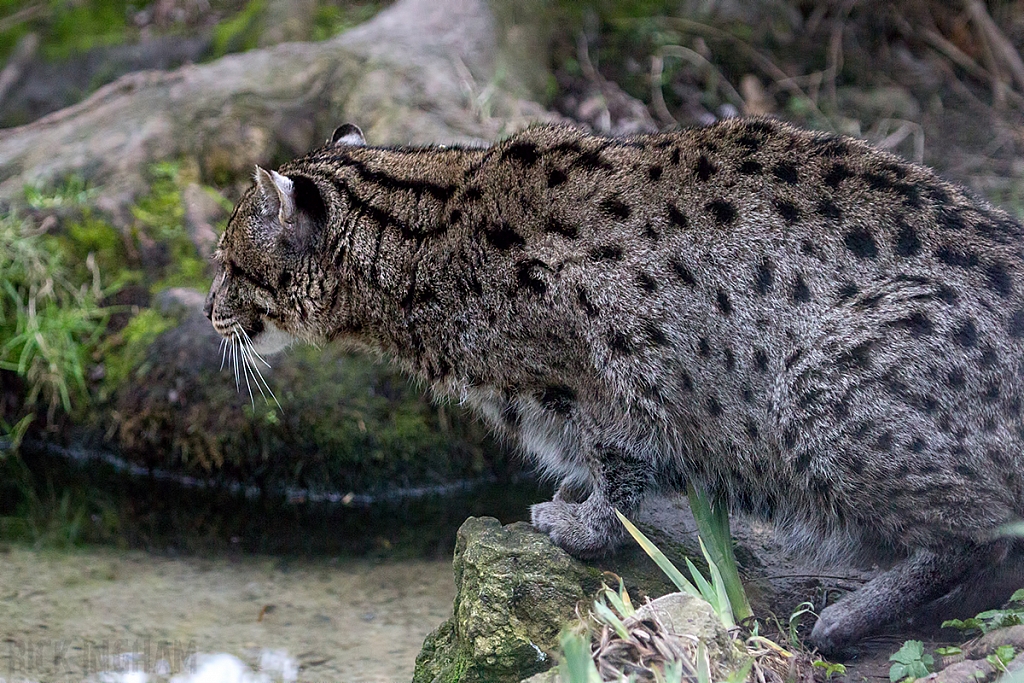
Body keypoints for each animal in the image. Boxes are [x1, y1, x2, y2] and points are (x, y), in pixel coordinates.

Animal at [203, 118, 1024, 655]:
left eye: (227, 264)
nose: (208, 312)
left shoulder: (616, 374)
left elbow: (619, 474)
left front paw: (582, 522)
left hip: (819, 384)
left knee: (979, 535)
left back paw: (854, 614)